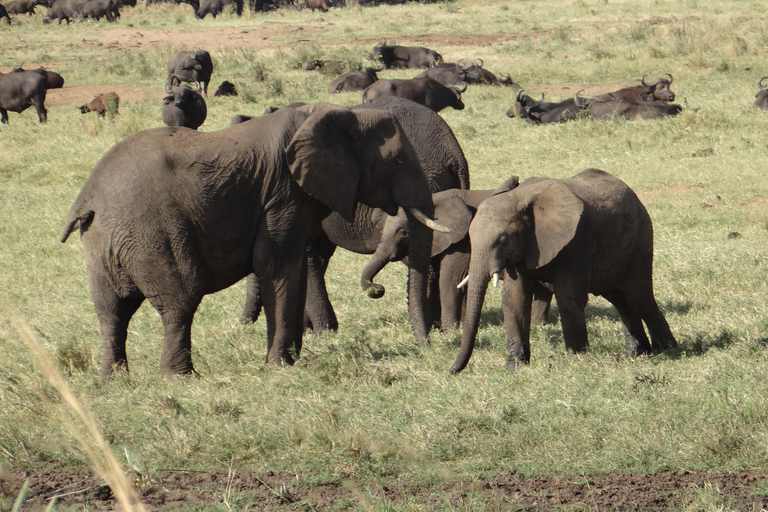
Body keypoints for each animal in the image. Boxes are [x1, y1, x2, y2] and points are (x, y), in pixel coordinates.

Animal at [60, 108, 444, 380]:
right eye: (396, 161)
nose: (428, 346)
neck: (338, 113)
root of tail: (88, 199)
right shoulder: (283, 194)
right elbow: (275, 264)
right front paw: (280, 366)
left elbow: (295, 267)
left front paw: (292, 359)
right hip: (152, 231)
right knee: (180, 299)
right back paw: (181, 378)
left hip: (103, 240)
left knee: (112, 311)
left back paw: (114, 380)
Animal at [450, 170, 680, 374]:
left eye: (501, 240)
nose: (452, 371)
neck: (520, 198)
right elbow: (514, 298)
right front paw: (514, 367)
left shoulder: (575, 241)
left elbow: (568, 298)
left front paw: (577, 359)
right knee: (619, 298)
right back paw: (637, 353)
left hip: (641, 237)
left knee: (639, 296)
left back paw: (667, 349)